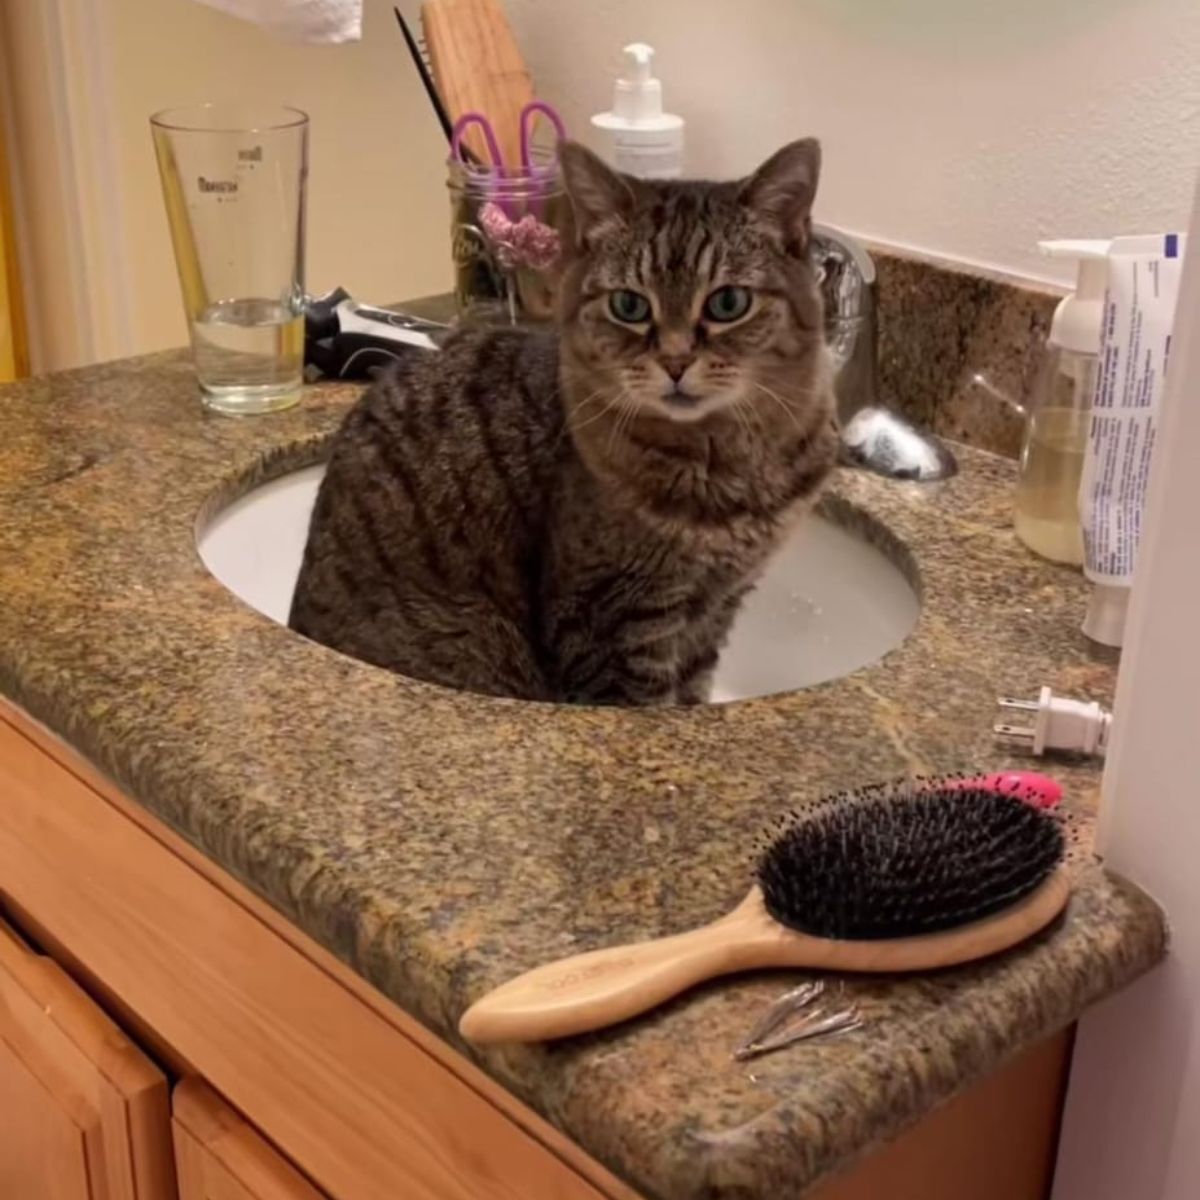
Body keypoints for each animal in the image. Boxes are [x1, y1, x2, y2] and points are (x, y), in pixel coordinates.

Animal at [286, 139, 840, 700]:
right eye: (629, 305)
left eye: (728, 302)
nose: (676, 361)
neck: (729, 462)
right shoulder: (610, 620)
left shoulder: (715, 609)